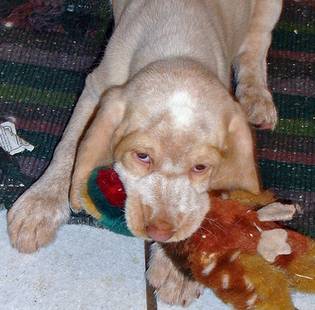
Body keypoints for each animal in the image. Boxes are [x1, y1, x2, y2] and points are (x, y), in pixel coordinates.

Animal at [8, 0, 282, 306]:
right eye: (142, 156)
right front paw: (40, 205)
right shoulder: (97, 90)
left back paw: (256, 99)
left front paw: (178, 270)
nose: (159, 231)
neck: (178, 46)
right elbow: (70, 145)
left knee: (256, 46)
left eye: (201, 167)